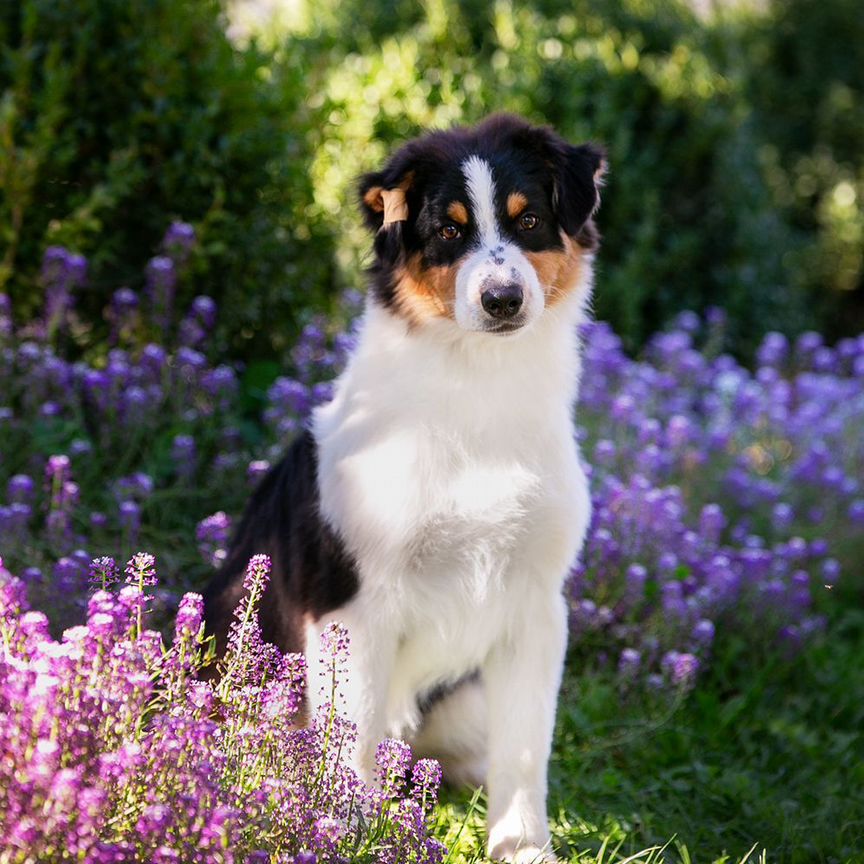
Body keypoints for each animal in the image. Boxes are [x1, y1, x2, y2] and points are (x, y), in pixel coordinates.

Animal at [205, 115, 604, 864]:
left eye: (529, 219)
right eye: (448, 230)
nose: (502, 300)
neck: (478, 394)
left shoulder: (536, 606)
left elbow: (525, 753)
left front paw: (522, 849)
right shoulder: (354, 606)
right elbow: (351, 745)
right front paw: (349, 836)